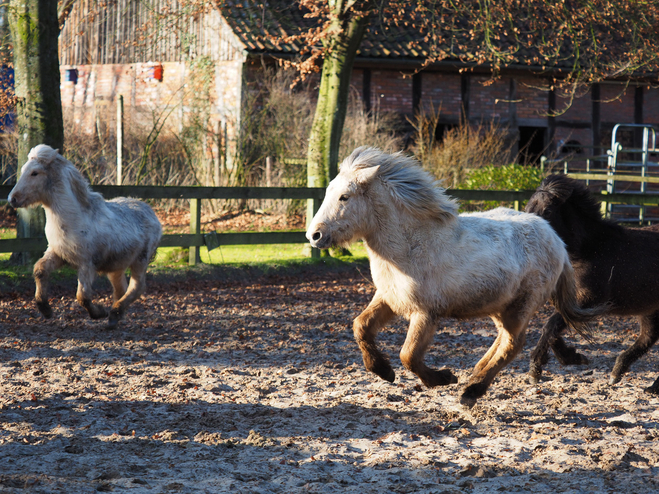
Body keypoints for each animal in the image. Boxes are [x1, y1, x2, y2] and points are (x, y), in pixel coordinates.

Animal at [8, 143, 162, 328]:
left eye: (35, 173)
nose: (12, 199)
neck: (73, 219)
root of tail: (151, 212)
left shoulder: (86, 264)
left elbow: (82, 296)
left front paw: (99, 313)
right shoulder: (58, 254)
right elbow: (39, 270)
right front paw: (45, 309)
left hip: (140, 260)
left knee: (137, 287)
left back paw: (114, 313)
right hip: (116, 266)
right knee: (121, 289)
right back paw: (115, 317)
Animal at [306, 146, 600, 406]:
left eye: (344, 197)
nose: (314, 235)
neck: (411, 246)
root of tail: (556, 240)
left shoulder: (425, 314)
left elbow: (408, 355)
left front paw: (442, 378)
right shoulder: (390, 299)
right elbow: (361, 326)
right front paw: (383, 370)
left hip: (521, 306)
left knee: (512, 344)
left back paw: (472, 390)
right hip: (500, 307)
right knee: (503, 339)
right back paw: (476, 374)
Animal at [524, 175, 659, 394]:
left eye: (548, 211)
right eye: (527, 208)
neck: (589, 249)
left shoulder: (589, 301)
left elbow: (552, 325)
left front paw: (536, 369)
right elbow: (553, 327)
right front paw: (574, 357)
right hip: (650, 309)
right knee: (648, 337)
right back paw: (622, 375)